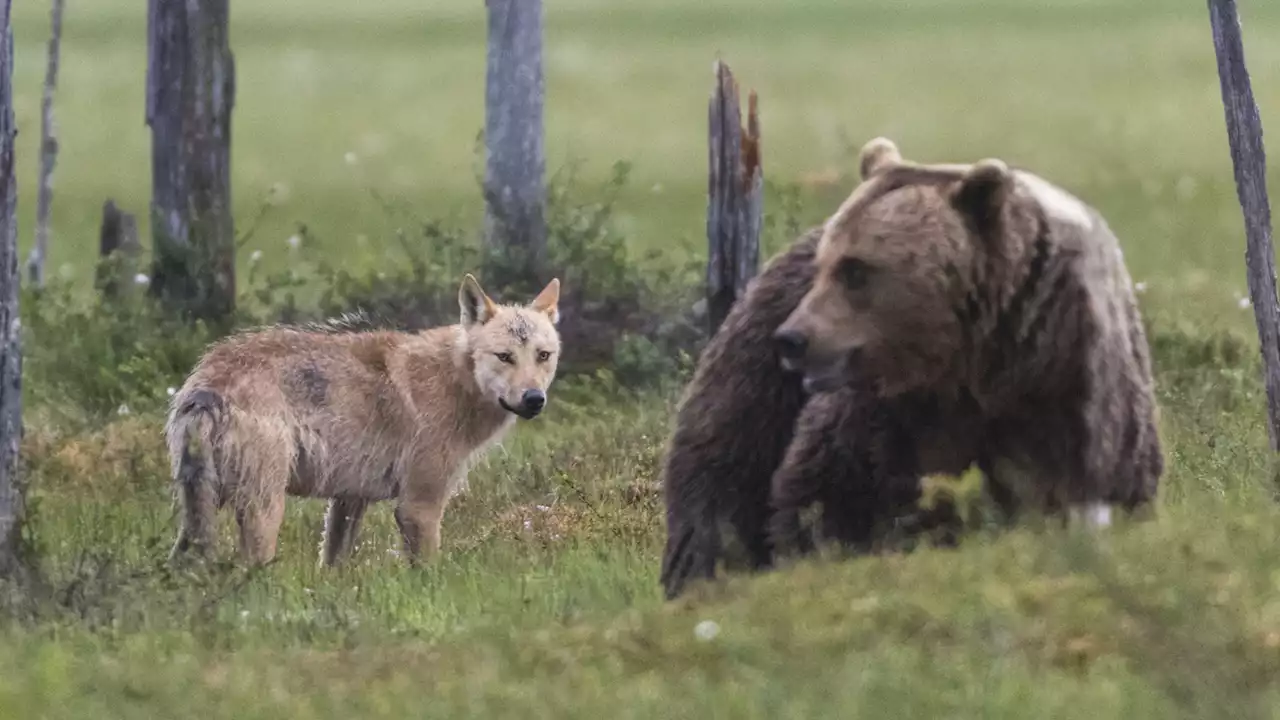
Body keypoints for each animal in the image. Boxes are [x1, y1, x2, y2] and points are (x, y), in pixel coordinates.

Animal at [162, 271, 563, 563]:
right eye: (505, 356)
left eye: (543, 355)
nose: (533, 399)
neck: (453, 380)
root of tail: (208, 384)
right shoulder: (418, 507)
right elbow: (430, 572)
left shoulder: (350, 499)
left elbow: (333, 565)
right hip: (265, 511)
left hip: (197, 515)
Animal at [665, 135, 1167, 599]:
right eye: (827, 266)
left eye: (855, 270)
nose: (792, 338)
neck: (974, 364)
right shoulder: (888, 412)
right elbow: (831, 492)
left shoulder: (1069, 393)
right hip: (756, 380)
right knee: (720, 475)